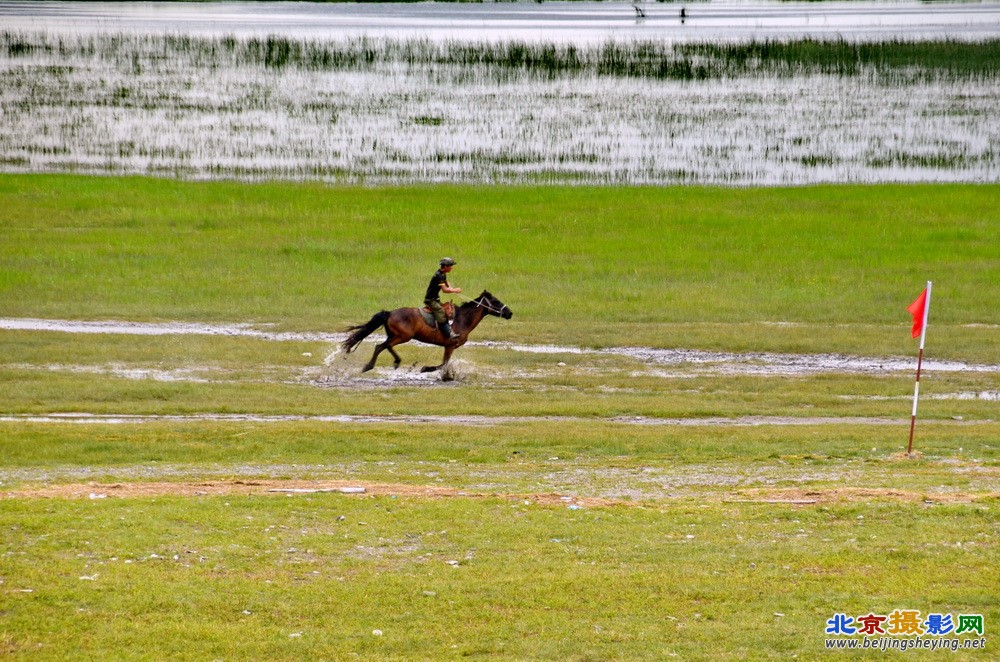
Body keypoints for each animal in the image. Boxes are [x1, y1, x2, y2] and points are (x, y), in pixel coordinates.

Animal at [344, 294, 516, 376]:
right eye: (496, 301)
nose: (510, 313)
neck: (463, 319)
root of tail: (390, 312)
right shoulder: (450, 345)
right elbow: (444, 364)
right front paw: (426, 368)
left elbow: (445, 363)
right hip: (402, 337)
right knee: (380, 346)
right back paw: (369, 366)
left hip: (395, 336)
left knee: (385, 346)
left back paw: (396, 362)